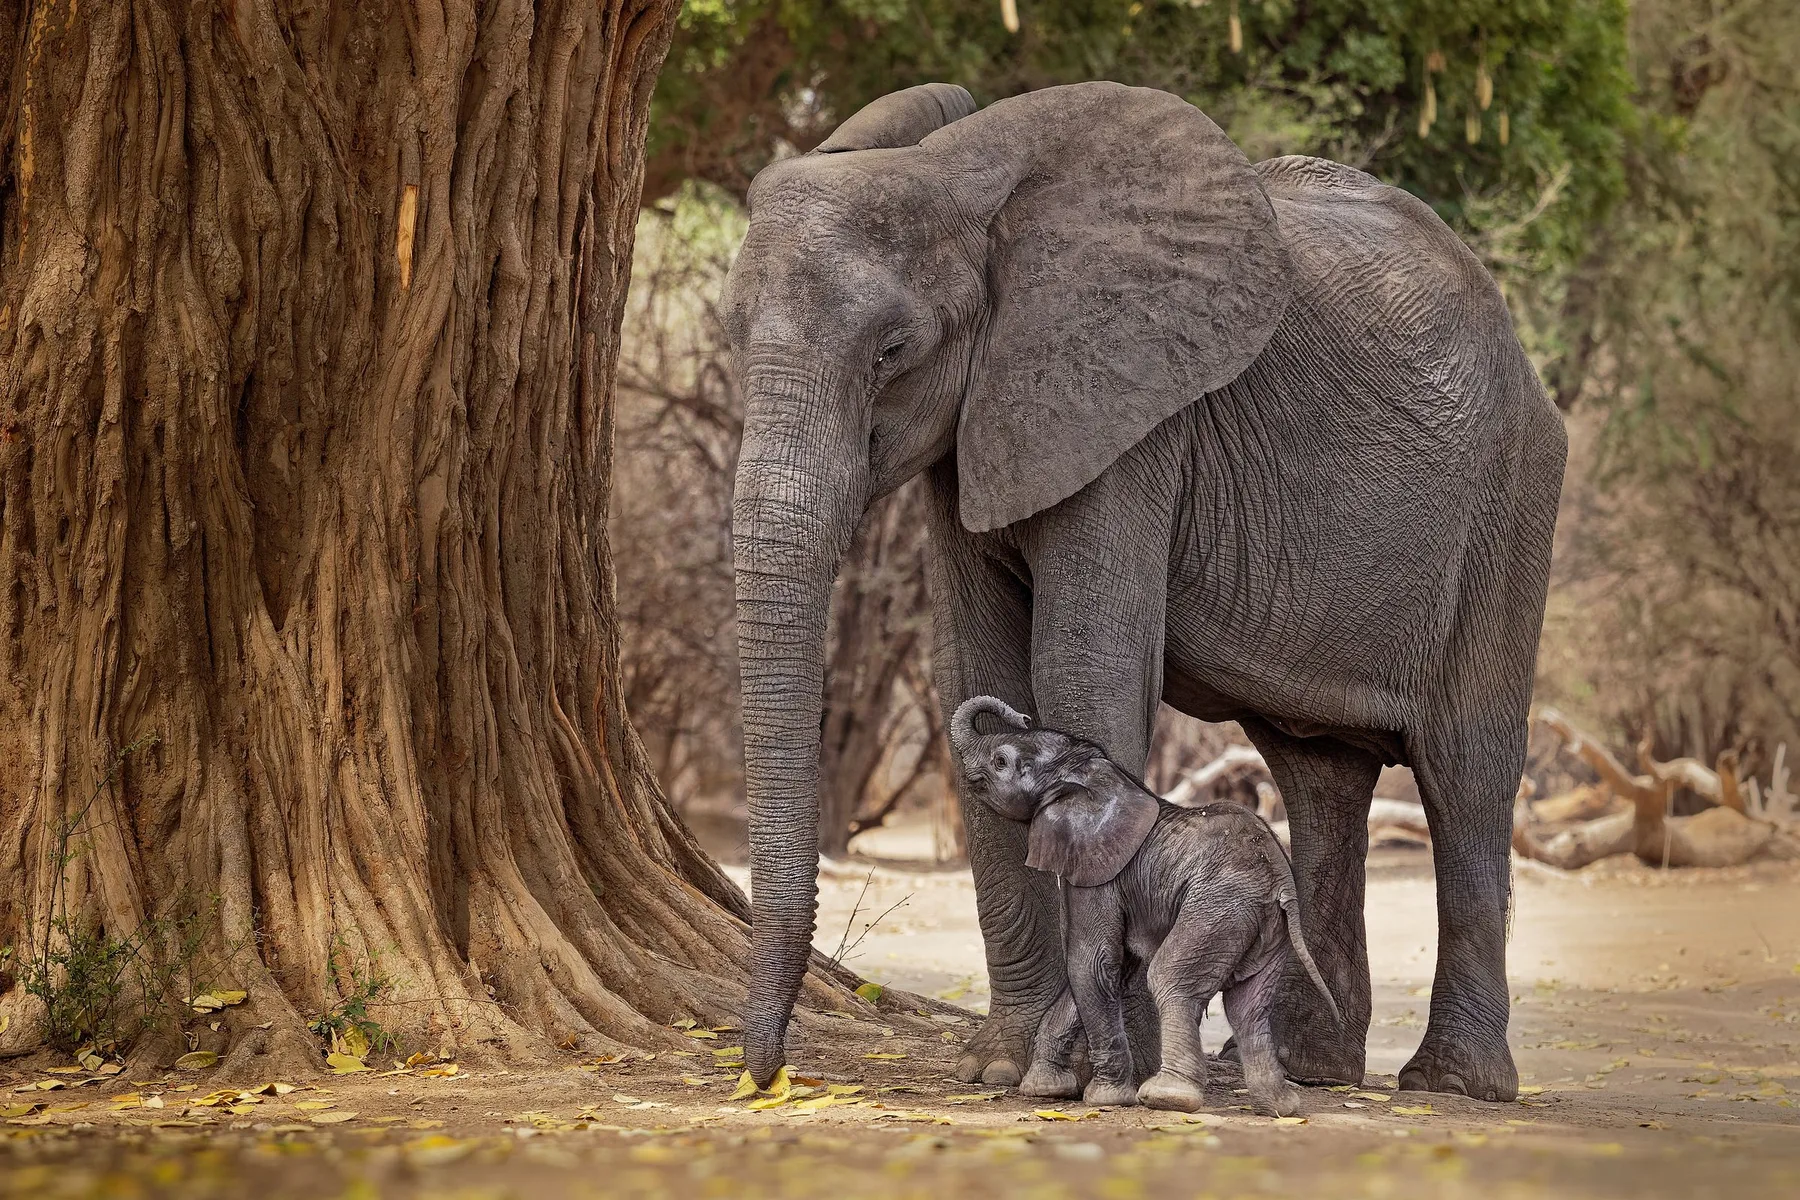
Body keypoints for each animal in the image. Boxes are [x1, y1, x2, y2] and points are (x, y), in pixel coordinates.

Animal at [949, 696, 1340, 1116]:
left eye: (1000, 761)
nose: (1021, 714)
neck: (1093, 776)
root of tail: (1279, 876)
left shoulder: (1098, 870)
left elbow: (1091, 960)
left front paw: (1105, 1099)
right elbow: (1110, 968)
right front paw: (1044, 1090)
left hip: (1220, 905)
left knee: (1171, 978)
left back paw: (1167, 1097)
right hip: (1264, 923)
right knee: (1249, 1005)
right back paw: (1282, 1107)